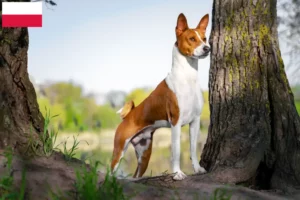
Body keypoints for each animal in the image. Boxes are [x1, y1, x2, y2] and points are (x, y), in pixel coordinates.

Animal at [110, 12, 211, 181]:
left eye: (205, 38)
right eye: (192, 39)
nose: (207, 48)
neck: (188, 78)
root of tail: (127, 117)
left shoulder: (195, 120)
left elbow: (192, 148)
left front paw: (197, 169)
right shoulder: (176, 122)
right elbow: (176, 151)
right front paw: (177, 173)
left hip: (144, 154)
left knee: (136, 175)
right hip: (119, 150)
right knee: (110, 171)